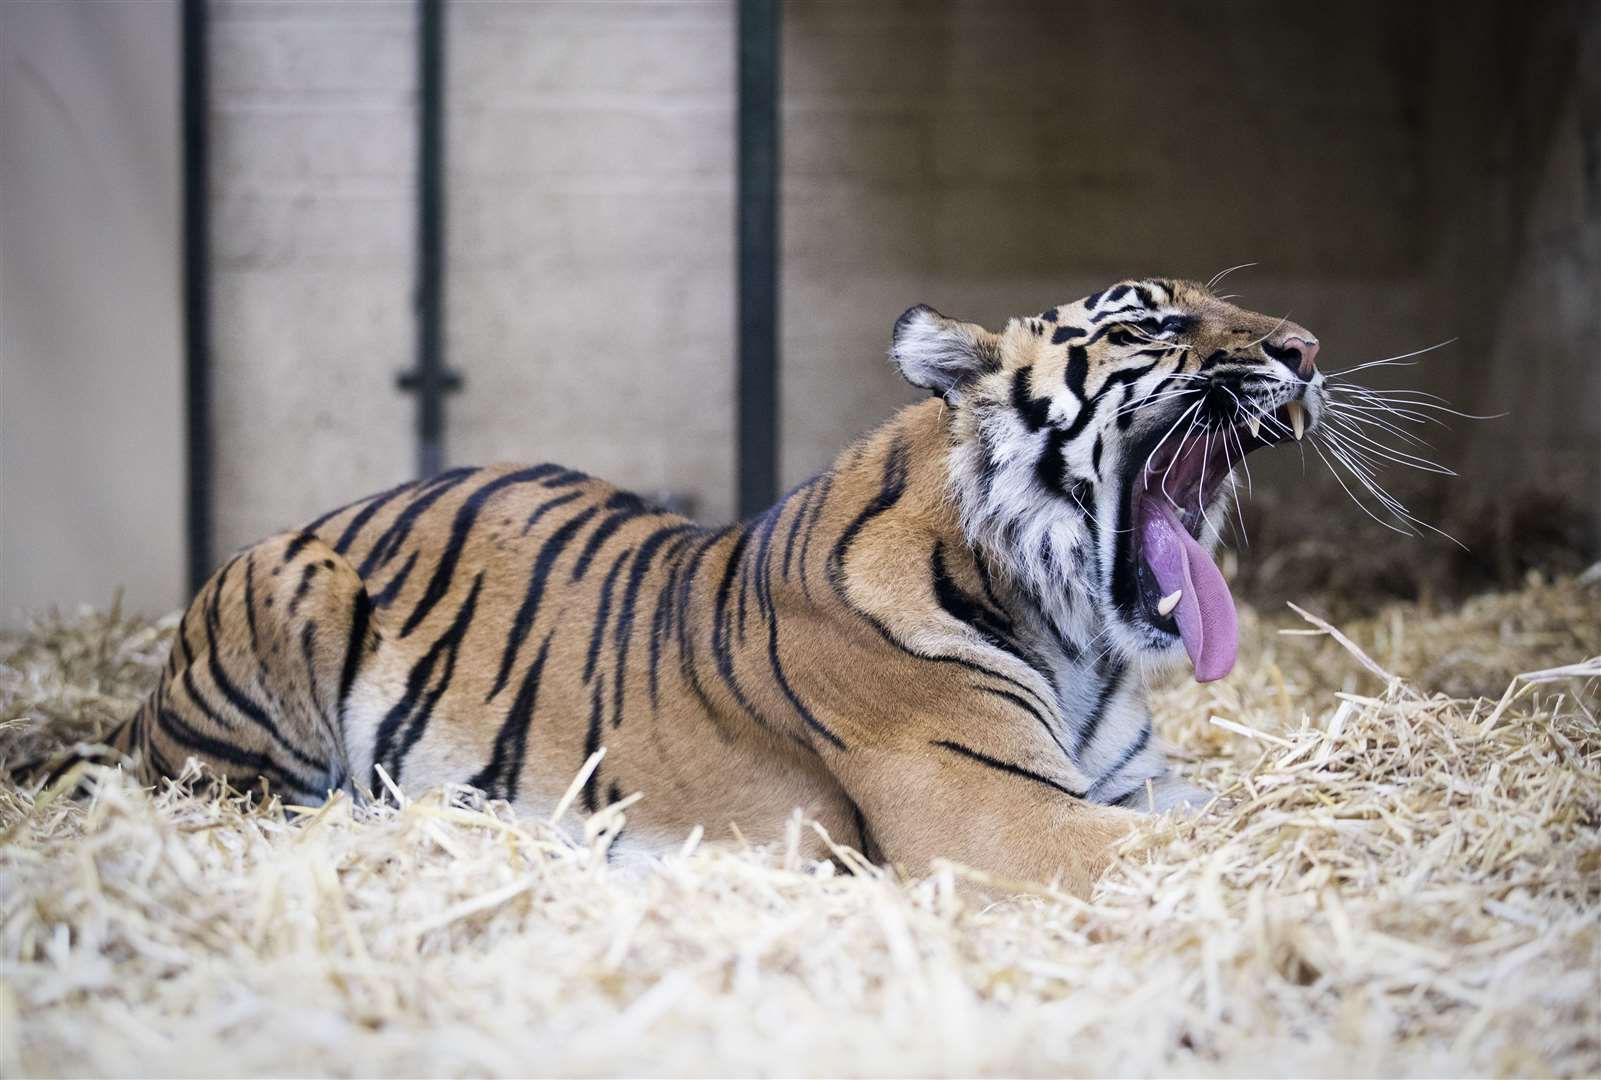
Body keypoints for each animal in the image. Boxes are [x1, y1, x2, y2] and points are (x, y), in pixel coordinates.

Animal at [59, 276, 1325, 896]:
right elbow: (1221, 848)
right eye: (1151, 322)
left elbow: (1242, 813)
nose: (1308, 350)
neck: (1071, 632)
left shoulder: (1129, 788)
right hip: (287, 595)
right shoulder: (999, 816)